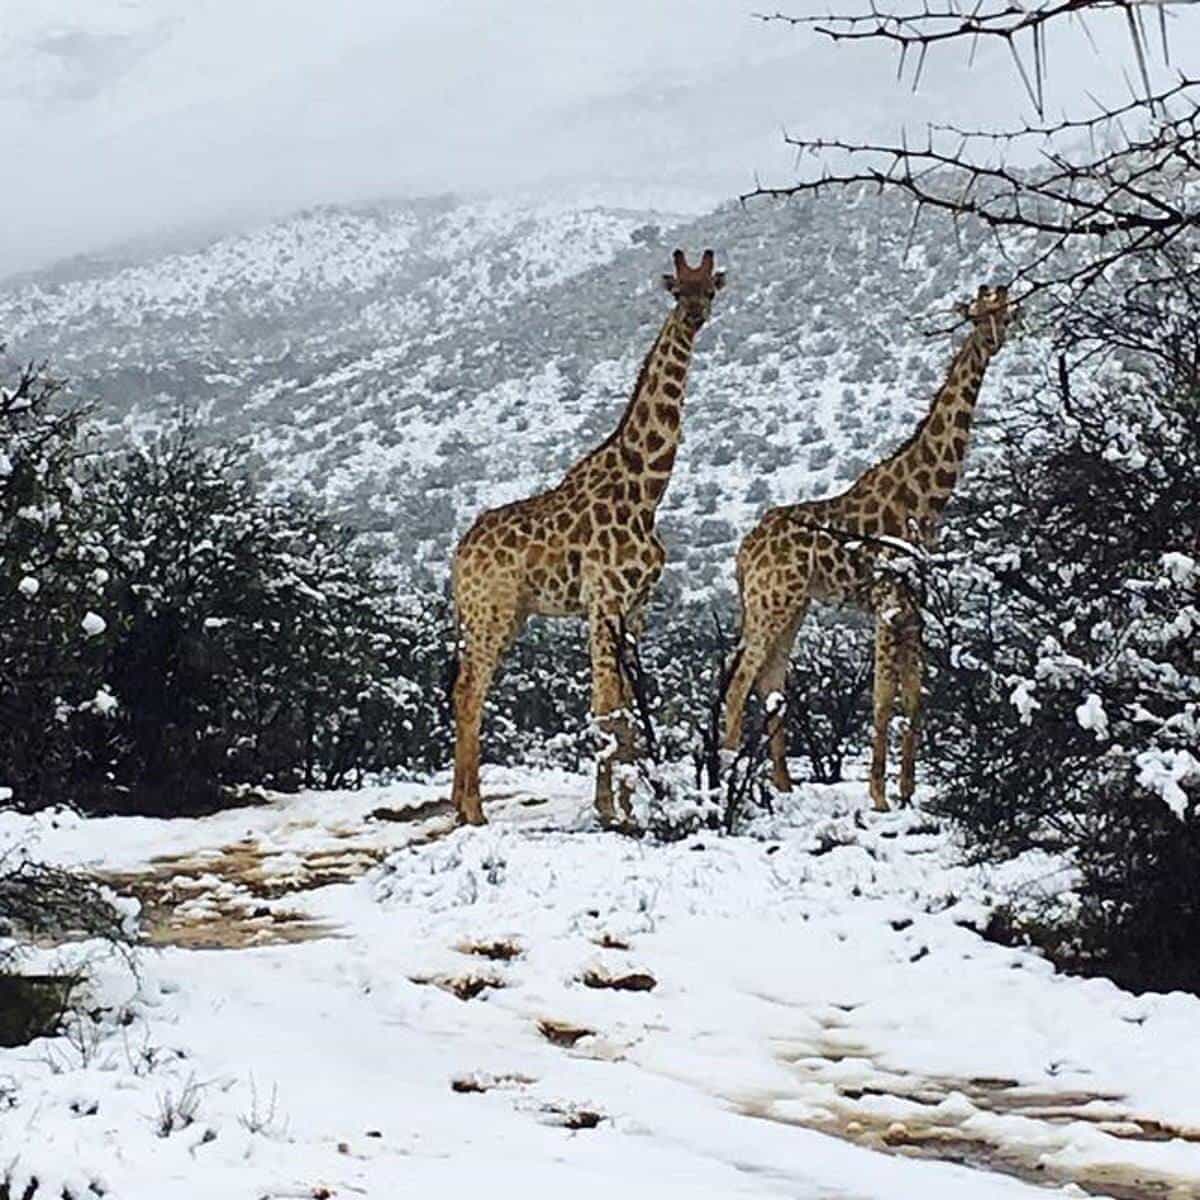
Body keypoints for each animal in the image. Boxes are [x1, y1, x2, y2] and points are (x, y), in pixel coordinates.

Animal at [451, 248, 724, 830]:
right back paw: (472, 811)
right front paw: (609, 810)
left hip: (506, 615)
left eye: (710, 288)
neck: (647, 490)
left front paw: (633, 806)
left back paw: (461, 804)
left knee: (466, 688)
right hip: (491, 611)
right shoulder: (604, 601)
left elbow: (627, 709)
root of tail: (459, 554)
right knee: (469, 691)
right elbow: (604, 706)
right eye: (677, 291)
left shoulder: (636, 607)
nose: (694, 317)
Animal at [720, 282, 1012, 811]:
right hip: (770, 602)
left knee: (771, 682)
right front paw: (878, 795)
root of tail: (743, 552)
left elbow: (915, 696)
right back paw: (730, 780)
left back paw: (783, 785)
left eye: (1007, 306)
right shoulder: (887, 601)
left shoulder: (914, 606)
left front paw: (908, 791)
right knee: (740, 683)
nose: (995, 337)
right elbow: (881, 698)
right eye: (978, 313)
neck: (926, 498)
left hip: (792, 605)